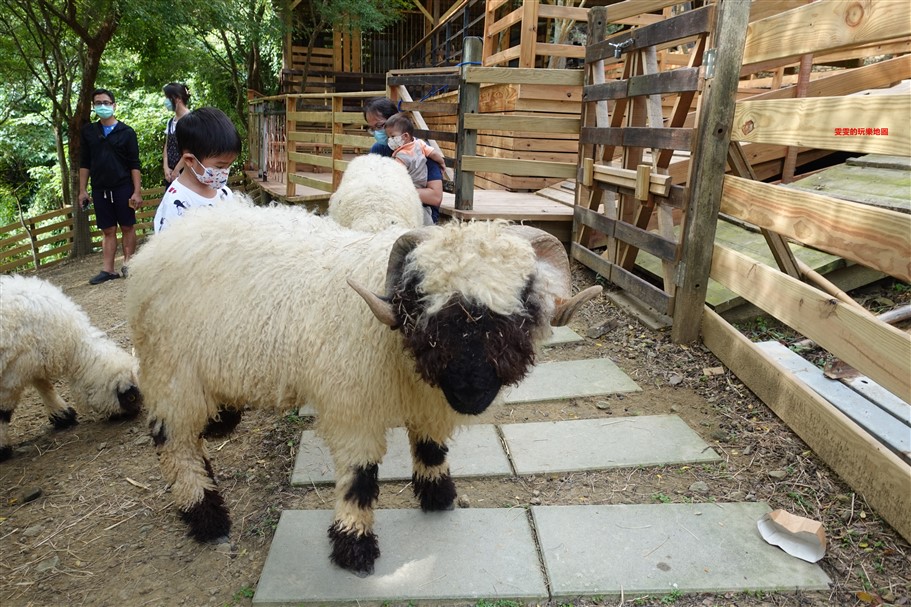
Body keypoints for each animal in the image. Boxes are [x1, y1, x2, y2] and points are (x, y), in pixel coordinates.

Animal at [0, 274, 142, 458]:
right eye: (131, 397)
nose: (136, 413)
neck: (72, 342)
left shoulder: (32, 360)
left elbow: (44, 385)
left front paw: (62, 415)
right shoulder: (11, 375)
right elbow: (3, 412)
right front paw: (2, 448)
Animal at [124, 198, 604, 576]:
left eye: (524, 299)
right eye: (422, 298)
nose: (470, 391)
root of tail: (157, 245)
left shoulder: (426, 403)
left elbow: (431, 447)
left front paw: (438, 497)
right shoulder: (353, 406)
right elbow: (360, 477)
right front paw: (353, 546)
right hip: (172, 370)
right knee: (173, 442)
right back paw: (205, 516)